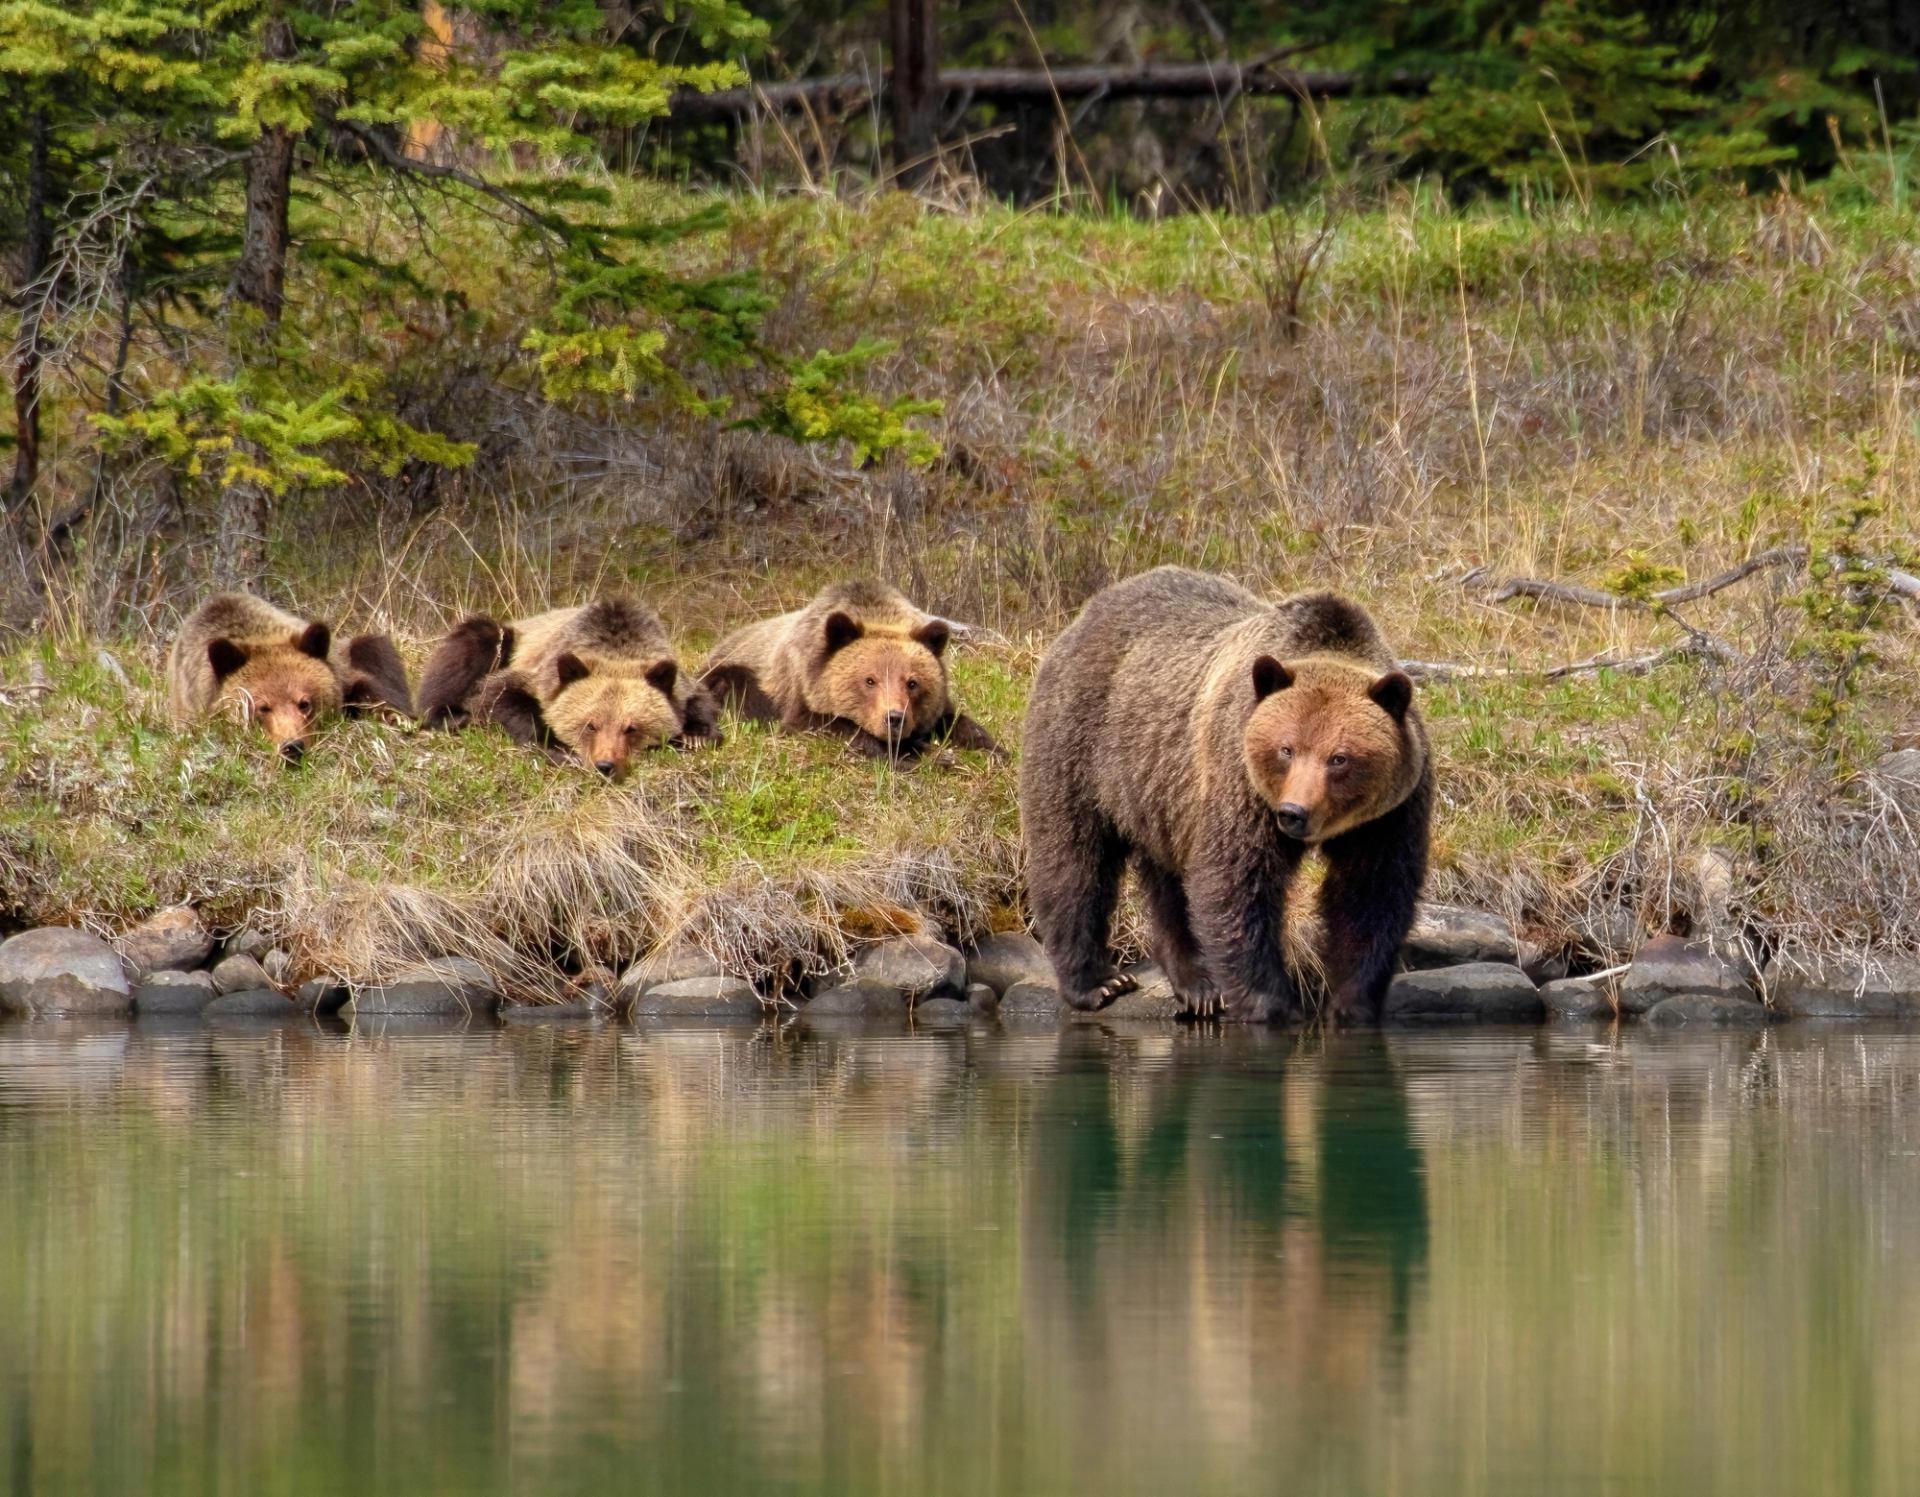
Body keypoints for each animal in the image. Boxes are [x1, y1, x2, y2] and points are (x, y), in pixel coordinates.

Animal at [414, 596, 720, 779]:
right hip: (509, 639)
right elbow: (498, 695)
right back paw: (452, 716)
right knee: (476, 640)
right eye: (590, 725)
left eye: (631, 728)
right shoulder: (540, 672)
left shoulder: (675, 678)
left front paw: (696, 735)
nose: (605, 765)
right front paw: (557, 748)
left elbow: (700, 700)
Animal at [699, 580, 1001, 763]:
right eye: (870, 680)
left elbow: (957, 721)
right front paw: (925, 754)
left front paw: (993, 750)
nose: (895, 718)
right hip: (731, 674)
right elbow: (829, 725)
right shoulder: (801, 690)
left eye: (913, 682)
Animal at [1019, 566, 1430, 1025]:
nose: (1294, 813)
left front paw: (1351, 1005)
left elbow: (1371, 894)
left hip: (1161, 793)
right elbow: (1235, 881)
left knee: (1168, 883)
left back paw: (1196, 984)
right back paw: (1098, 982)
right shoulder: (1240, 780)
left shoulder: (1388, 815)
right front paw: (1271, 1004)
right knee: (1074, 859)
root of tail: (1086, 614)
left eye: (1339, 758)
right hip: (1079, 742)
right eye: (1286, 749)